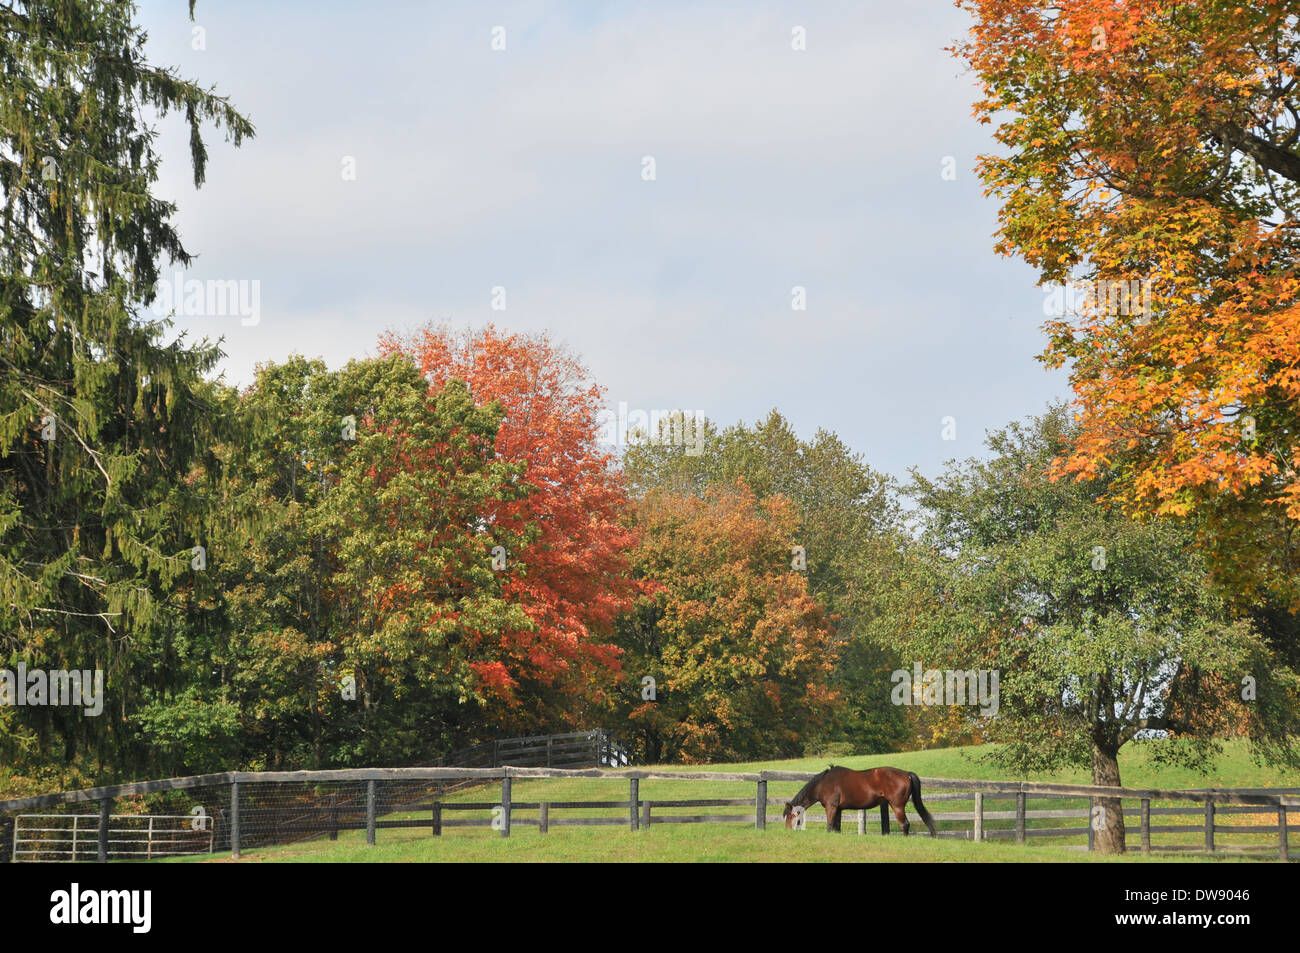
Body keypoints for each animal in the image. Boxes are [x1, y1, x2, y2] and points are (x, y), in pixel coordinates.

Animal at [782, 765, 937, 836]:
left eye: (790, 816)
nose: (787, 831)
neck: (823, 783)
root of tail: (907, 774)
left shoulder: (831, 807)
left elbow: (830, 826)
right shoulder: (838, 809)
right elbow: (837, 828)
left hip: (897, 806)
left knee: (905, 824)